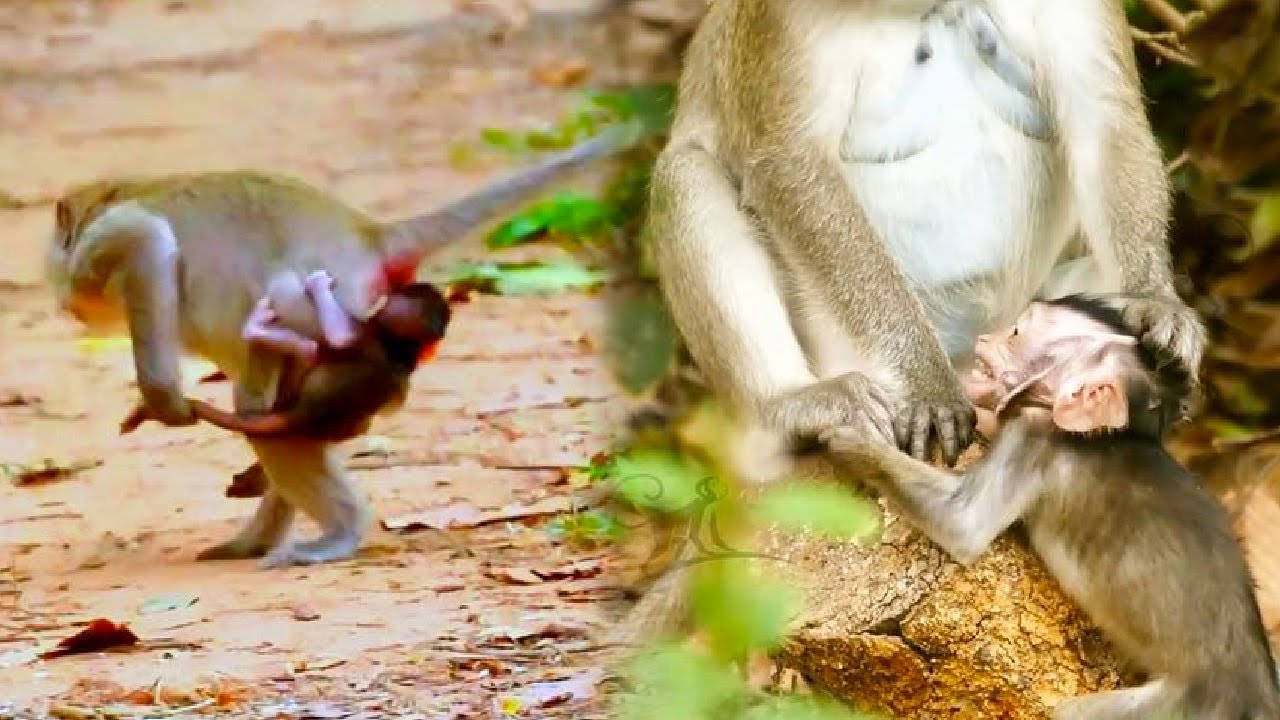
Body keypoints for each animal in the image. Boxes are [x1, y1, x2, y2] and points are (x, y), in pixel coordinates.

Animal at [46, 122, 637, 568]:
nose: (65, 302)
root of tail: (367, 235)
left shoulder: (103, 244)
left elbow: (147, 238)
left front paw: (163, 398)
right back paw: (260, 536)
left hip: (323, 308)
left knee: (266, 385)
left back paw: (338, 532)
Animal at [821, 295, 1280, 720]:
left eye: (1016, 334)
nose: (985, 338)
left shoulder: (1033, 438)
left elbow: (962, 524)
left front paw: (848, 435)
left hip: (1185, 708)